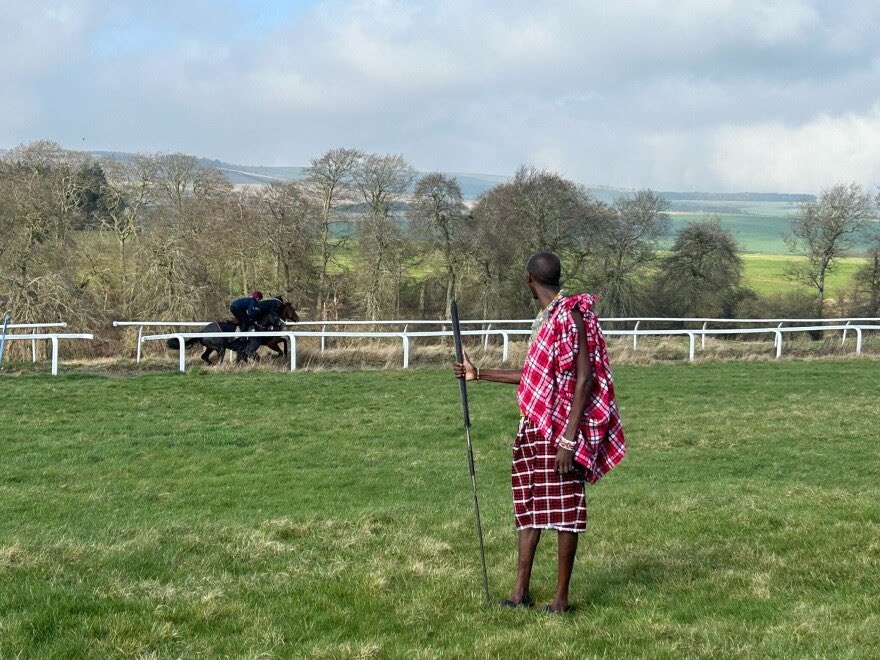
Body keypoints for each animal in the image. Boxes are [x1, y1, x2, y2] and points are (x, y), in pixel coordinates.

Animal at [165, 300, 300, 364]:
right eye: (292, 309)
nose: (297, 319)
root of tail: (202, 331)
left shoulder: (244, 350)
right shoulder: (256, 347)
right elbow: (258, 358)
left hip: (210, 347)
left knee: (204, 356)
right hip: (220, 348)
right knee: (218, 357)